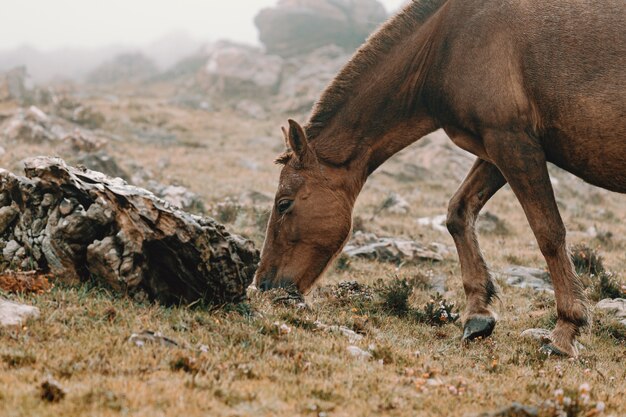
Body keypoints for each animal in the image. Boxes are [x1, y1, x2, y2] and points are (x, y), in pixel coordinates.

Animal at [254, 0, 624, 358]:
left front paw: (565, 332)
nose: (264, 285)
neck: (445, 43)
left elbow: (548, 233)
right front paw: (478, 315)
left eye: (284, 204)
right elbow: (459, 212)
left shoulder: (513, 142)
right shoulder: (498, 148)